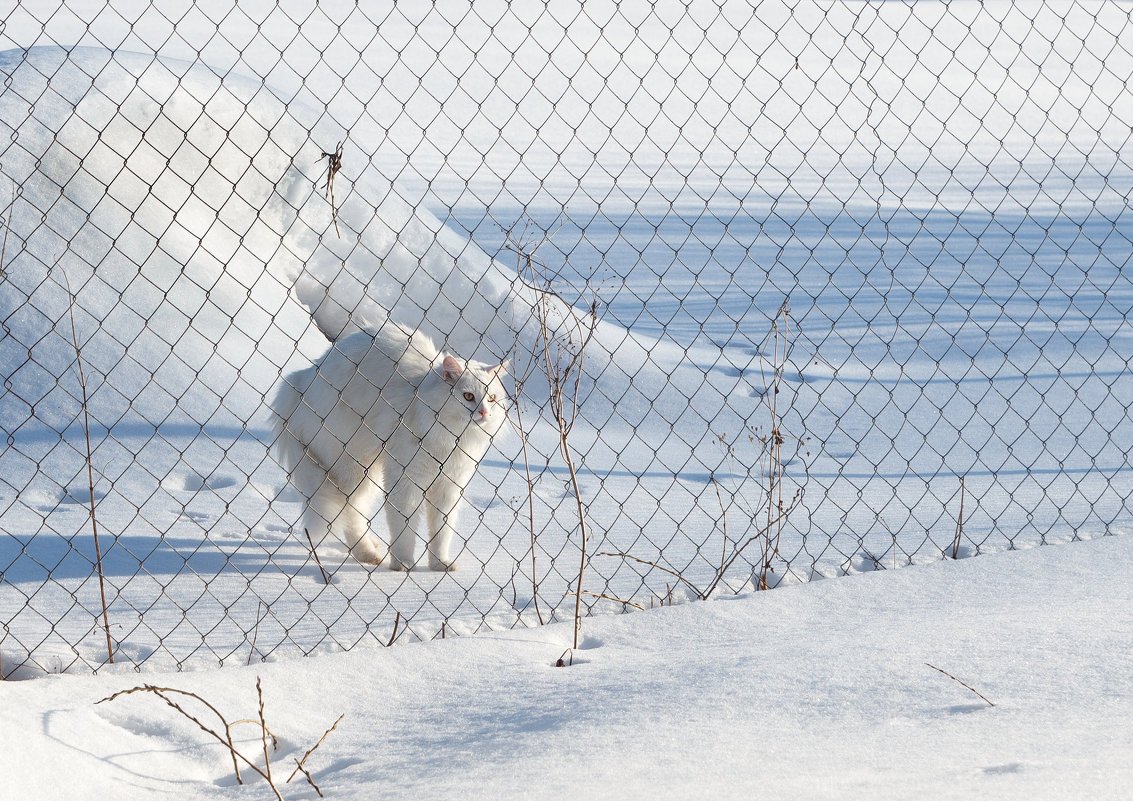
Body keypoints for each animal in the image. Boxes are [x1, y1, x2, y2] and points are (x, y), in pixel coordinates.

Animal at [271, 324, 507, 571]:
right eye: (468, 396)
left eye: (491, 398)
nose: (484, 412)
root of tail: (302, 380)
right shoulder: (405, 483)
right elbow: (404, 529)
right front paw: (402, 564)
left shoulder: (448, 487)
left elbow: (441, 533)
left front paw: (439, 564)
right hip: (354, 469)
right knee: (351, 515)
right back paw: (368, 554)